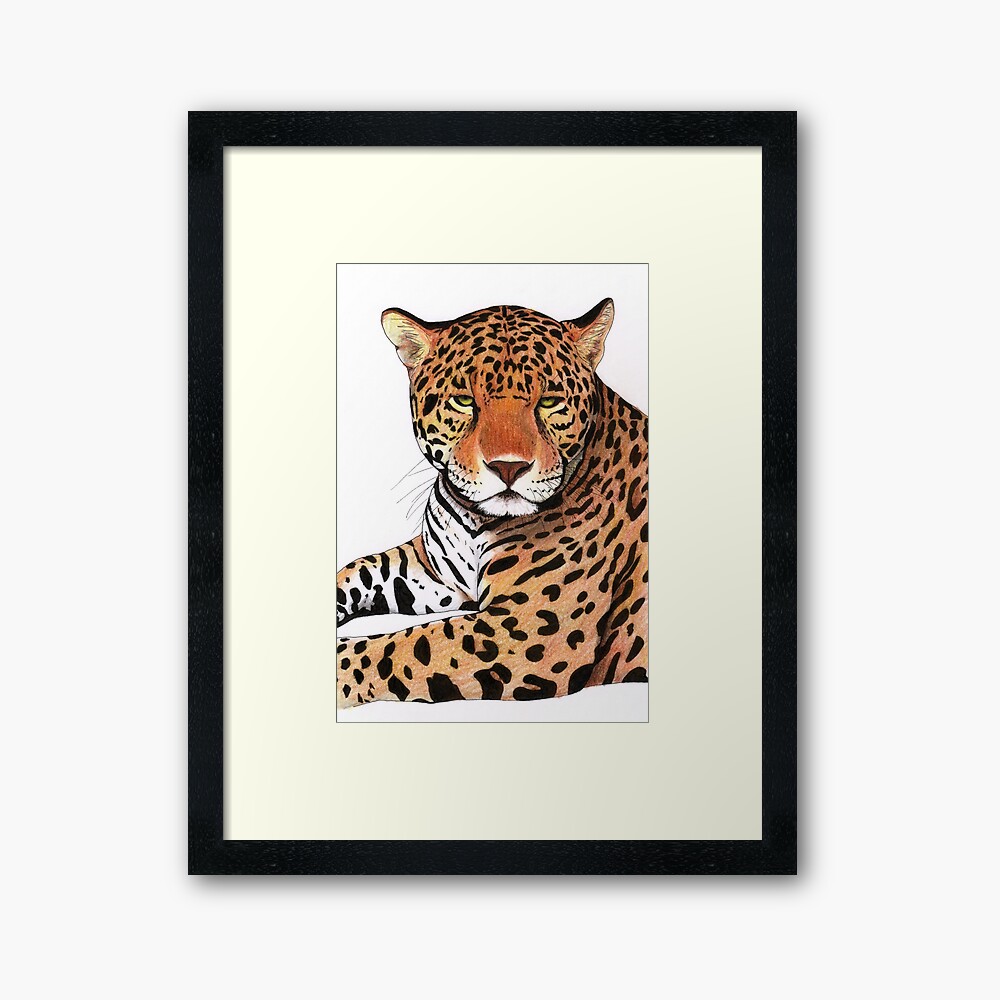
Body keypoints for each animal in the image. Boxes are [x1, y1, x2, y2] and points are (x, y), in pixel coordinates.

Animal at [336, 298, 648, 707]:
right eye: (464, 401)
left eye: (550, 402)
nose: (508, 467)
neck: (474, 520)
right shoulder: (436, 573)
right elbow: (362, 570)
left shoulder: (523, 632)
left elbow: (395, 651)